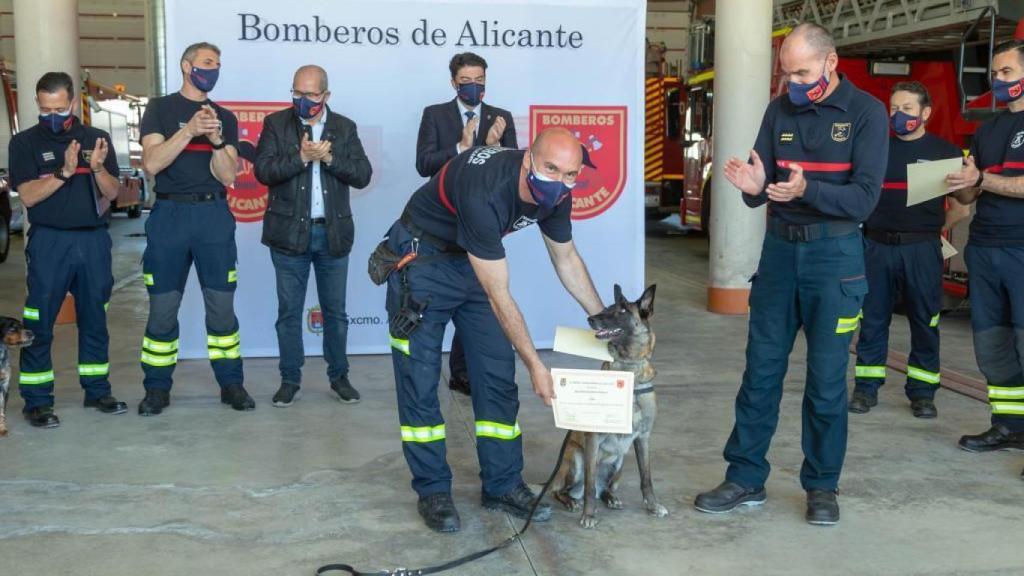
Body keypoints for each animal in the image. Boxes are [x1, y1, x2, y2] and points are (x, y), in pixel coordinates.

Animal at [557, 284, 667, 528]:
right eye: (606, 308)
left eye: (623, 310)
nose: (590, 318)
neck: (629, 369)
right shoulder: (593, 438)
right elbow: (589, 486)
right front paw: (589, 515)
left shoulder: (643, 437)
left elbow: (647, 478)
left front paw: (653, 506)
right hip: (576, 459)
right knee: (566, 490)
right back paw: (571, 501)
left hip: (618, 463)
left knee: (602, 489)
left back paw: (610, 497)